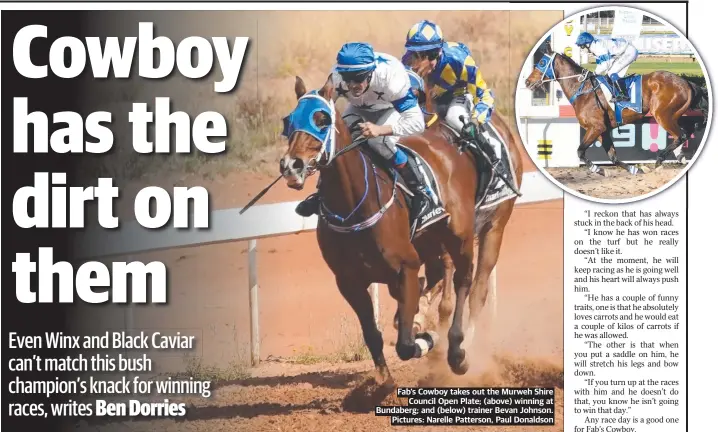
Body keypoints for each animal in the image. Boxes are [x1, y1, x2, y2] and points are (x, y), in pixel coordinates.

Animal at [280, 73, 524, 388]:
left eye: (322, 118)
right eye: (288, 121)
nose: (291, 166)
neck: (353, 207)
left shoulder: (406, 266)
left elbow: (407, 344)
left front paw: (427, 338)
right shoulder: (348, 281)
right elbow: (373, 334)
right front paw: (384, 383)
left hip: (478, 230)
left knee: (468, 283)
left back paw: (458, 350)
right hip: (433, 242)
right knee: (442, 279)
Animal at [524, 45, 712, 176]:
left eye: (541, 62)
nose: (527, 82)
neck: (583, 90)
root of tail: (685, 82)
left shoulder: (596, 127)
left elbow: (580, 151)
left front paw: (598, 169)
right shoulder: (603, 130)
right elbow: (613, 157)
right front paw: (635, 169)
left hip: (662, 115)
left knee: (681, 135)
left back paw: (660, 160)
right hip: (674, 114)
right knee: (686, 132)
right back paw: (679, 156)